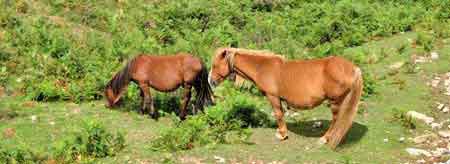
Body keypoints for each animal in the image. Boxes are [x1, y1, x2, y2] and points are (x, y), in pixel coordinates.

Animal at [207, 47, 362, 149]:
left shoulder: (273, 97)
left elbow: (279, 114)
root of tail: (353, 68)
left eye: (215, 65)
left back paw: (325, 138)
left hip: (336, 101)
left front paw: (282, 134)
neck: (261, 67)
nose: (210, 81)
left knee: (337, 120)